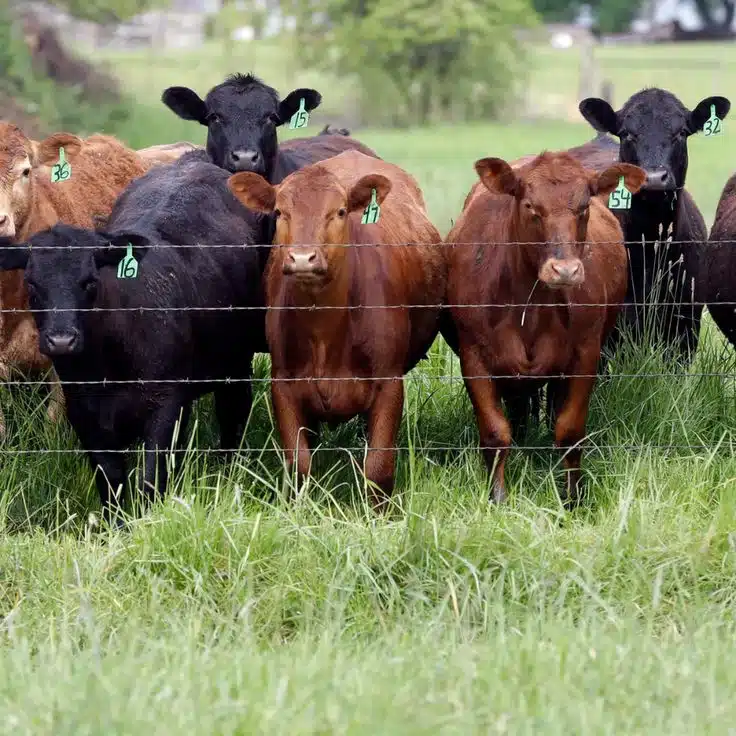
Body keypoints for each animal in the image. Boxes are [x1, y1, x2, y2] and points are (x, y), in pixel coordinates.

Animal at [226, 149, 446, 510]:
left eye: (340, 211)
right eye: (279, 212)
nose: (303, 258)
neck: (325, 331)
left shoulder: (389, 383)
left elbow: (378, 468)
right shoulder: (283, 384)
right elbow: (298, 465)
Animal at [444, 152, 646, 506]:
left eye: (584, 206)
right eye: (530, 206)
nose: (565, 270)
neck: (531, 306)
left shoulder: (585, 356)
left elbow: (569, 430)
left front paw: (574, 498)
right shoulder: (474, 358)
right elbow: (495, 432)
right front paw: (498, 498)